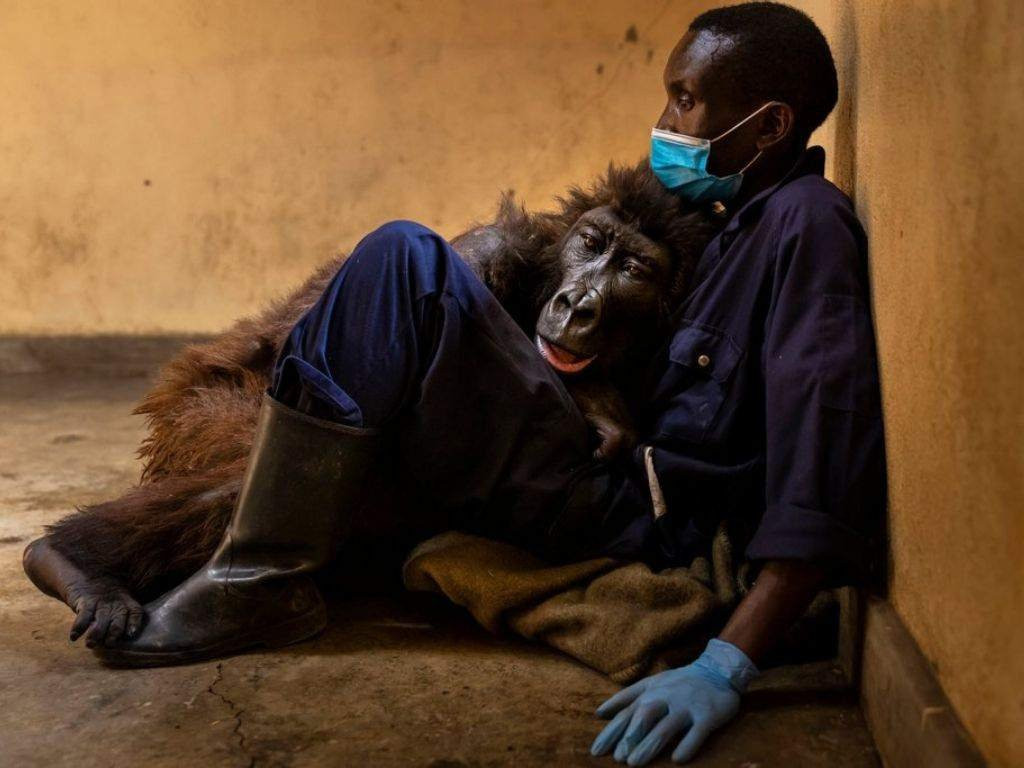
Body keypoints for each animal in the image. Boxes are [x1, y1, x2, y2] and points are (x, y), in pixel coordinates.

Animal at [24, 162, 724, 651]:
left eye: (632, 269)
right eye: (592, 242)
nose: (578, 303)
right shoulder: (488, 249)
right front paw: (596, 402)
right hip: (195, 417)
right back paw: (74, 561)